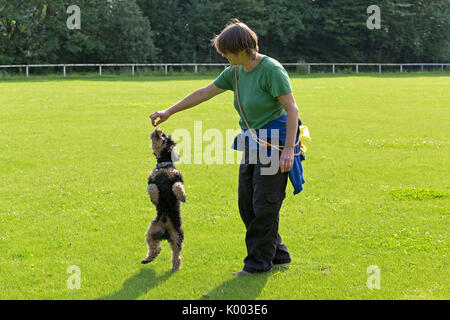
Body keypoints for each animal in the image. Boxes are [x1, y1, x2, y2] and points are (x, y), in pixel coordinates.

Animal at [142, 127, 188, 270]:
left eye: (165, 138)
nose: (158, 129)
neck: (163, 166)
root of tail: (165, 232)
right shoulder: (151, 180)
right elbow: (152, 188)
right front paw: (155, 199)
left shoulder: (177, 178)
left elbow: (177, 186)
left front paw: (182, 196)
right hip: (151, 231)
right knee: (155, 247)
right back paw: (148, 258)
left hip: (177, 234)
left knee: (176, 252)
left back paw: (176, 267)